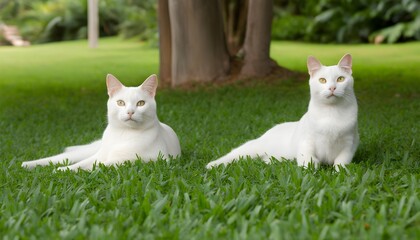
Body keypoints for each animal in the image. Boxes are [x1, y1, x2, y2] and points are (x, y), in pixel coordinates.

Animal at [21, 74, 180, 172]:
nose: (130, 112)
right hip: (89, 151)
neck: (123, 134)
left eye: (141, 103)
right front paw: (63, 170)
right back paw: (28, 164)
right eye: (120, 103)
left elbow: (105, 164)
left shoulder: (151, 159)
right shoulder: (98, 157)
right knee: (61, 158)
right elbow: (82, 164)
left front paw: (64, 171)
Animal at [207, 54, 358, 171]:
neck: (331, 112)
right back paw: (212, 165)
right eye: (322, 80)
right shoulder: (307, 141)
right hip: (252, 148)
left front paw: (340, 170)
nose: (332, 88)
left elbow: (341, 161)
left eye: (340, 79)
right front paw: (310, 166)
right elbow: (307, 157)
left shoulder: (349, 144)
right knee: (234, 154)